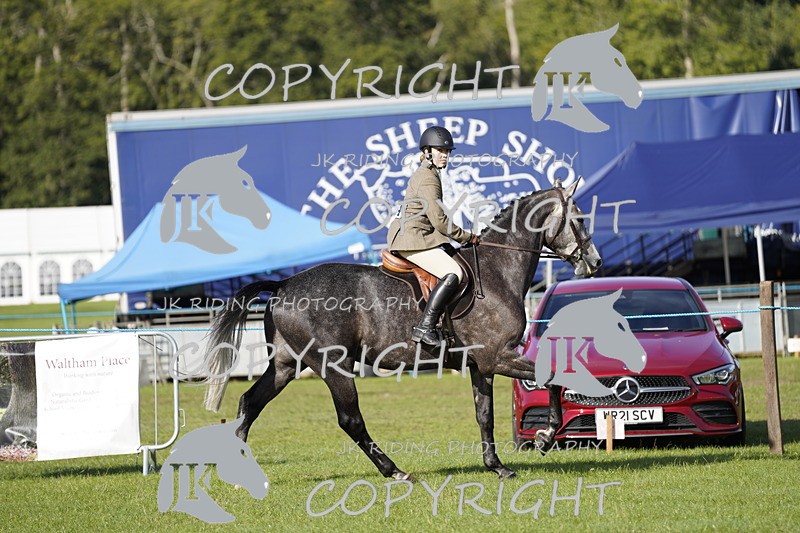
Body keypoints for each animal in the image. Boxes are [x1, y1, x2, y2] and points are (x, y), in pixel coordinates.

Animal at [203, 181, 602, 480]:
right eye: (580, 219)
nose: (595, 262)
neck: (497, 269)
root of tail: (284, 284)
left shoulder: (481, 365)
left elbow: (484, 415)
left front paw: (498, 467)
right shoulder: (498, 357)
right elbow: (553, 379)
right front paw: (546, 437)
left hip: (288, 364)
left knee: (250, 402)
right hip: (332, 365)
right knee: (350, 420)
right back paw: (394, 471)